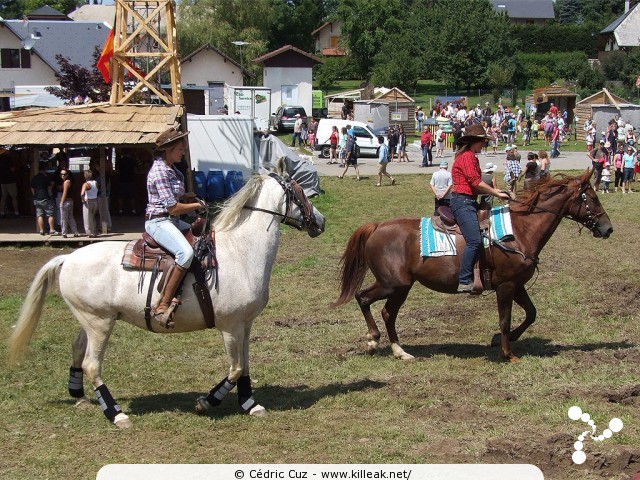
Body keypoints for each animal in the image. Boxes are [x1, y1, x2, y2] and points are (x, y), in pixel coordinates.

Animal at [7, 168, 322, 428]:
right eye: (299, 190)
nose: (321, 220)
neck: (241, 251)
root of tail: (67, 259)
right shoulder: (230, 327)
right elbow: (234, 369)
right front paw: (206, 402)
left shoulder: (245, 324)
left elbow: (244, 367)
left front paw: (250, 404)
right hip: (100, 324)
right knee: (92, 365)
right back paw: (116, 414)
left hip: (92, 320)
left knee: (77, 348)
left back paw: (80, 396)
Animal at [332, 169, 612, 360]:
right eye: (592, 198)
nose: (608, 228)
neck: (520, 230)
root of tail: (378, 226)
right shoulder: (506, 286)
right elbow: (505, 319)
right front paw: (508, 353)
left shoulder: (517, 284)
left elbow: (531, 313)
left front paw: (498, 341)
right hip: (393, 284)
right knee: (364, 298)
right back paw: (373, 339)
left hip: (401, 287)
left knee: (387, 312)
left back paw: (399, 351)